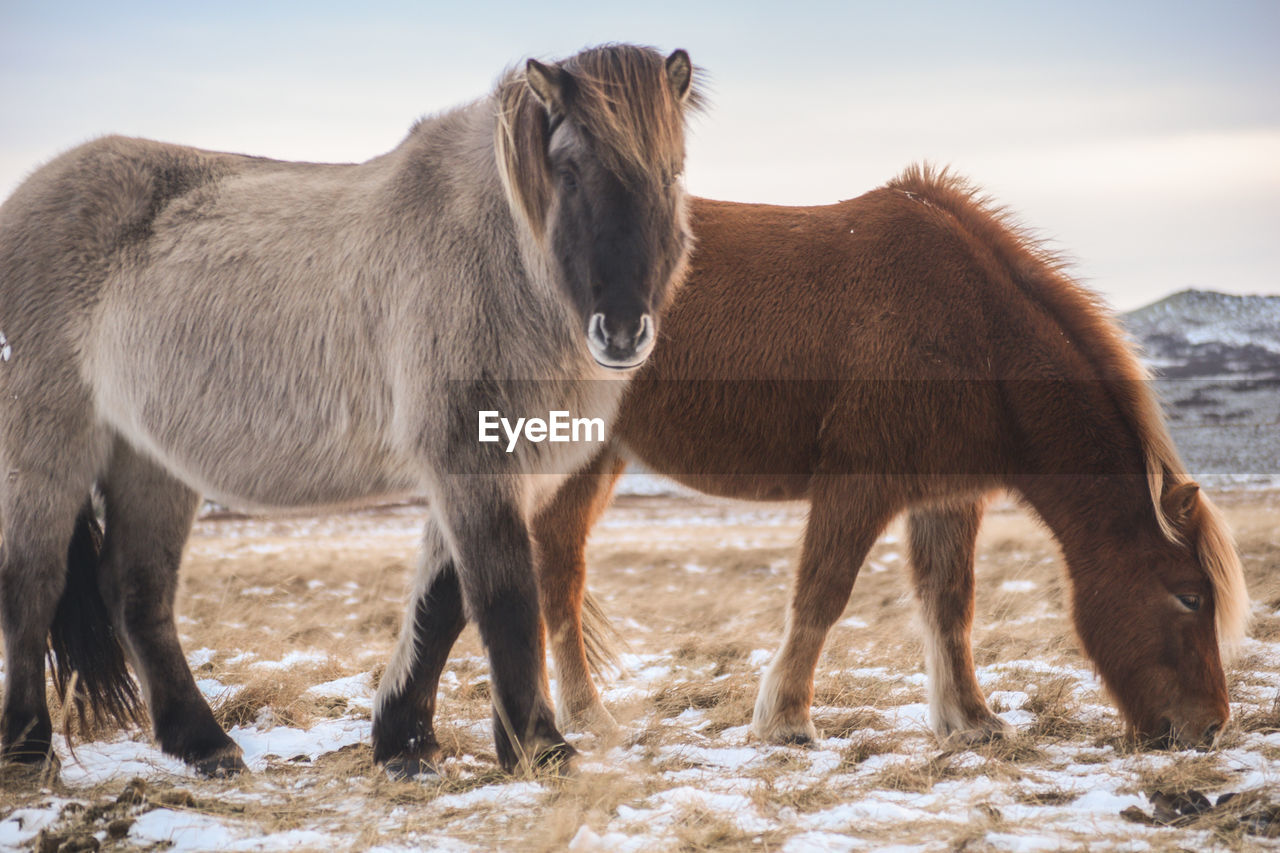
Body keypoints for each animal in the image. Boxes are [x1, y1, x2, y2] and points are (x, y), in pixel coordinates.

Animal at [0, 44, 701, 778]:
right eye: (567, 172)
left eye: (671, 172)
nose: (621, 331)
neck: (500, 256)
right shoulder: (471, 461)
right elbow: (504, 597)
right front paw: (541, 747)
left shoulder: (498, 470)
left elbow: (442, 601)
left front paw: (407, 742)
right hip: (49, 439)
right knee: (31, 581)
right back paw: (29, 749)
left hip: (148, 459)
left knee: (136, 589)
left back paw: (204, 742)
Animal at [527, 163, 1249, 742]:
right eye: (1189, 596)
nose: (1210, 728)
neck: (976, 331)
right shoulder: (859, 483)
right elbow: (823, 593)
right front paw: (786, 720)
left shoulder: (950, 496)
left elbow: (950, 603)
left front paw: (971, 720)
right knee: (554, 571)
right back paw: (587, 717)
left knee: (557, 564)